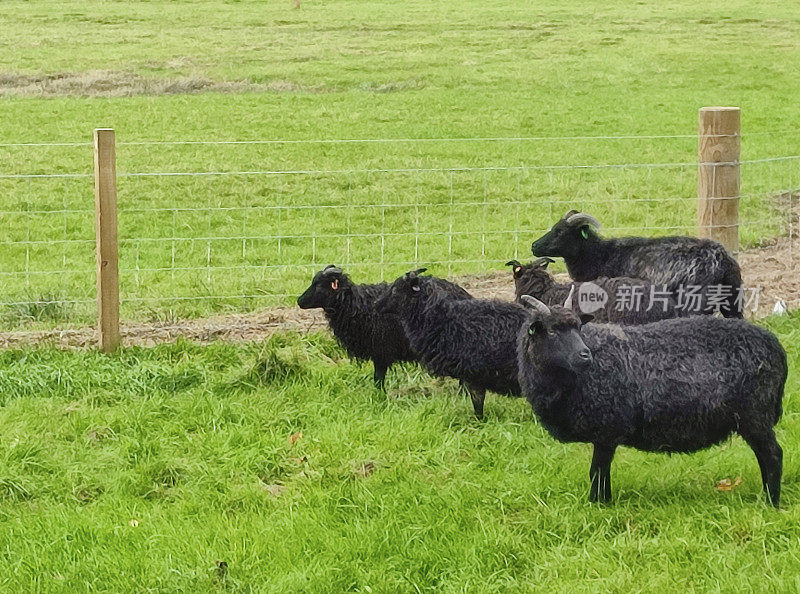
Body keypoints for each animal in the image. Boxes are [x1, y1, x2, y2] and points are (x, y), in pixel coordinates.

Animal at [516, 294, 784, 504]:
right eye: (552, 331)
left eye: (578, 328)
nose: (585, 355)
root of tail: (775, 346)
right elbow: (601, 472)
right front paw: (604, 501)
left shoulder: (608, 429)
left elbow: (597, 471)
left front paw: (598, 504)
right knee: (764, 455)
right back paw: (764, 494)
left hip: (754, 414)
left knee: (773, 455)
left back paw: (771, 502)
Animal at [532, 210, 744, 316]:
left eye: (560, 232)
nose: (534, 246)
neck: (600, 255)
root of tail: (722, 258)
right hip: (732, 302)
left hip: (694, 303)